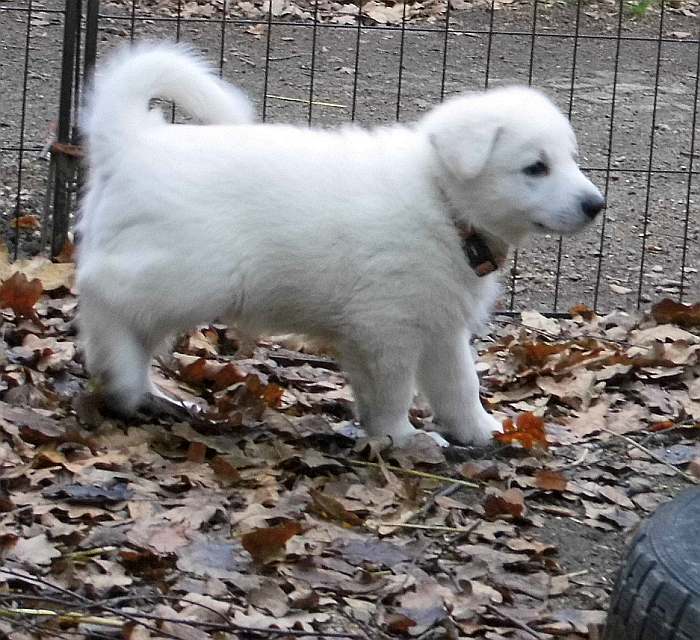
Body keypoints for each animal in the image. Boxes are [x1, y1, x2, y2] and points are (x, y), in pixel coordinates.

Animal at [75, 43, 600, 444]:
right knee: (103, 294)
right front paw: (400, 438)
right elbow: (394, 390)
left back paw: (139, 388)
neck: (443, 203)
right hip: (192, 274)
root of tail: (131, 143)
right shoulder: (387, 327)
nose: (596, 204)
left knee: (136, 328)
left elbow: (458, 385)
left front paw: (480, 431)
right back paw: (123, 379)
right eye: (536, 167)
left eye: (570, 159)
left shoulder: (437, 326)